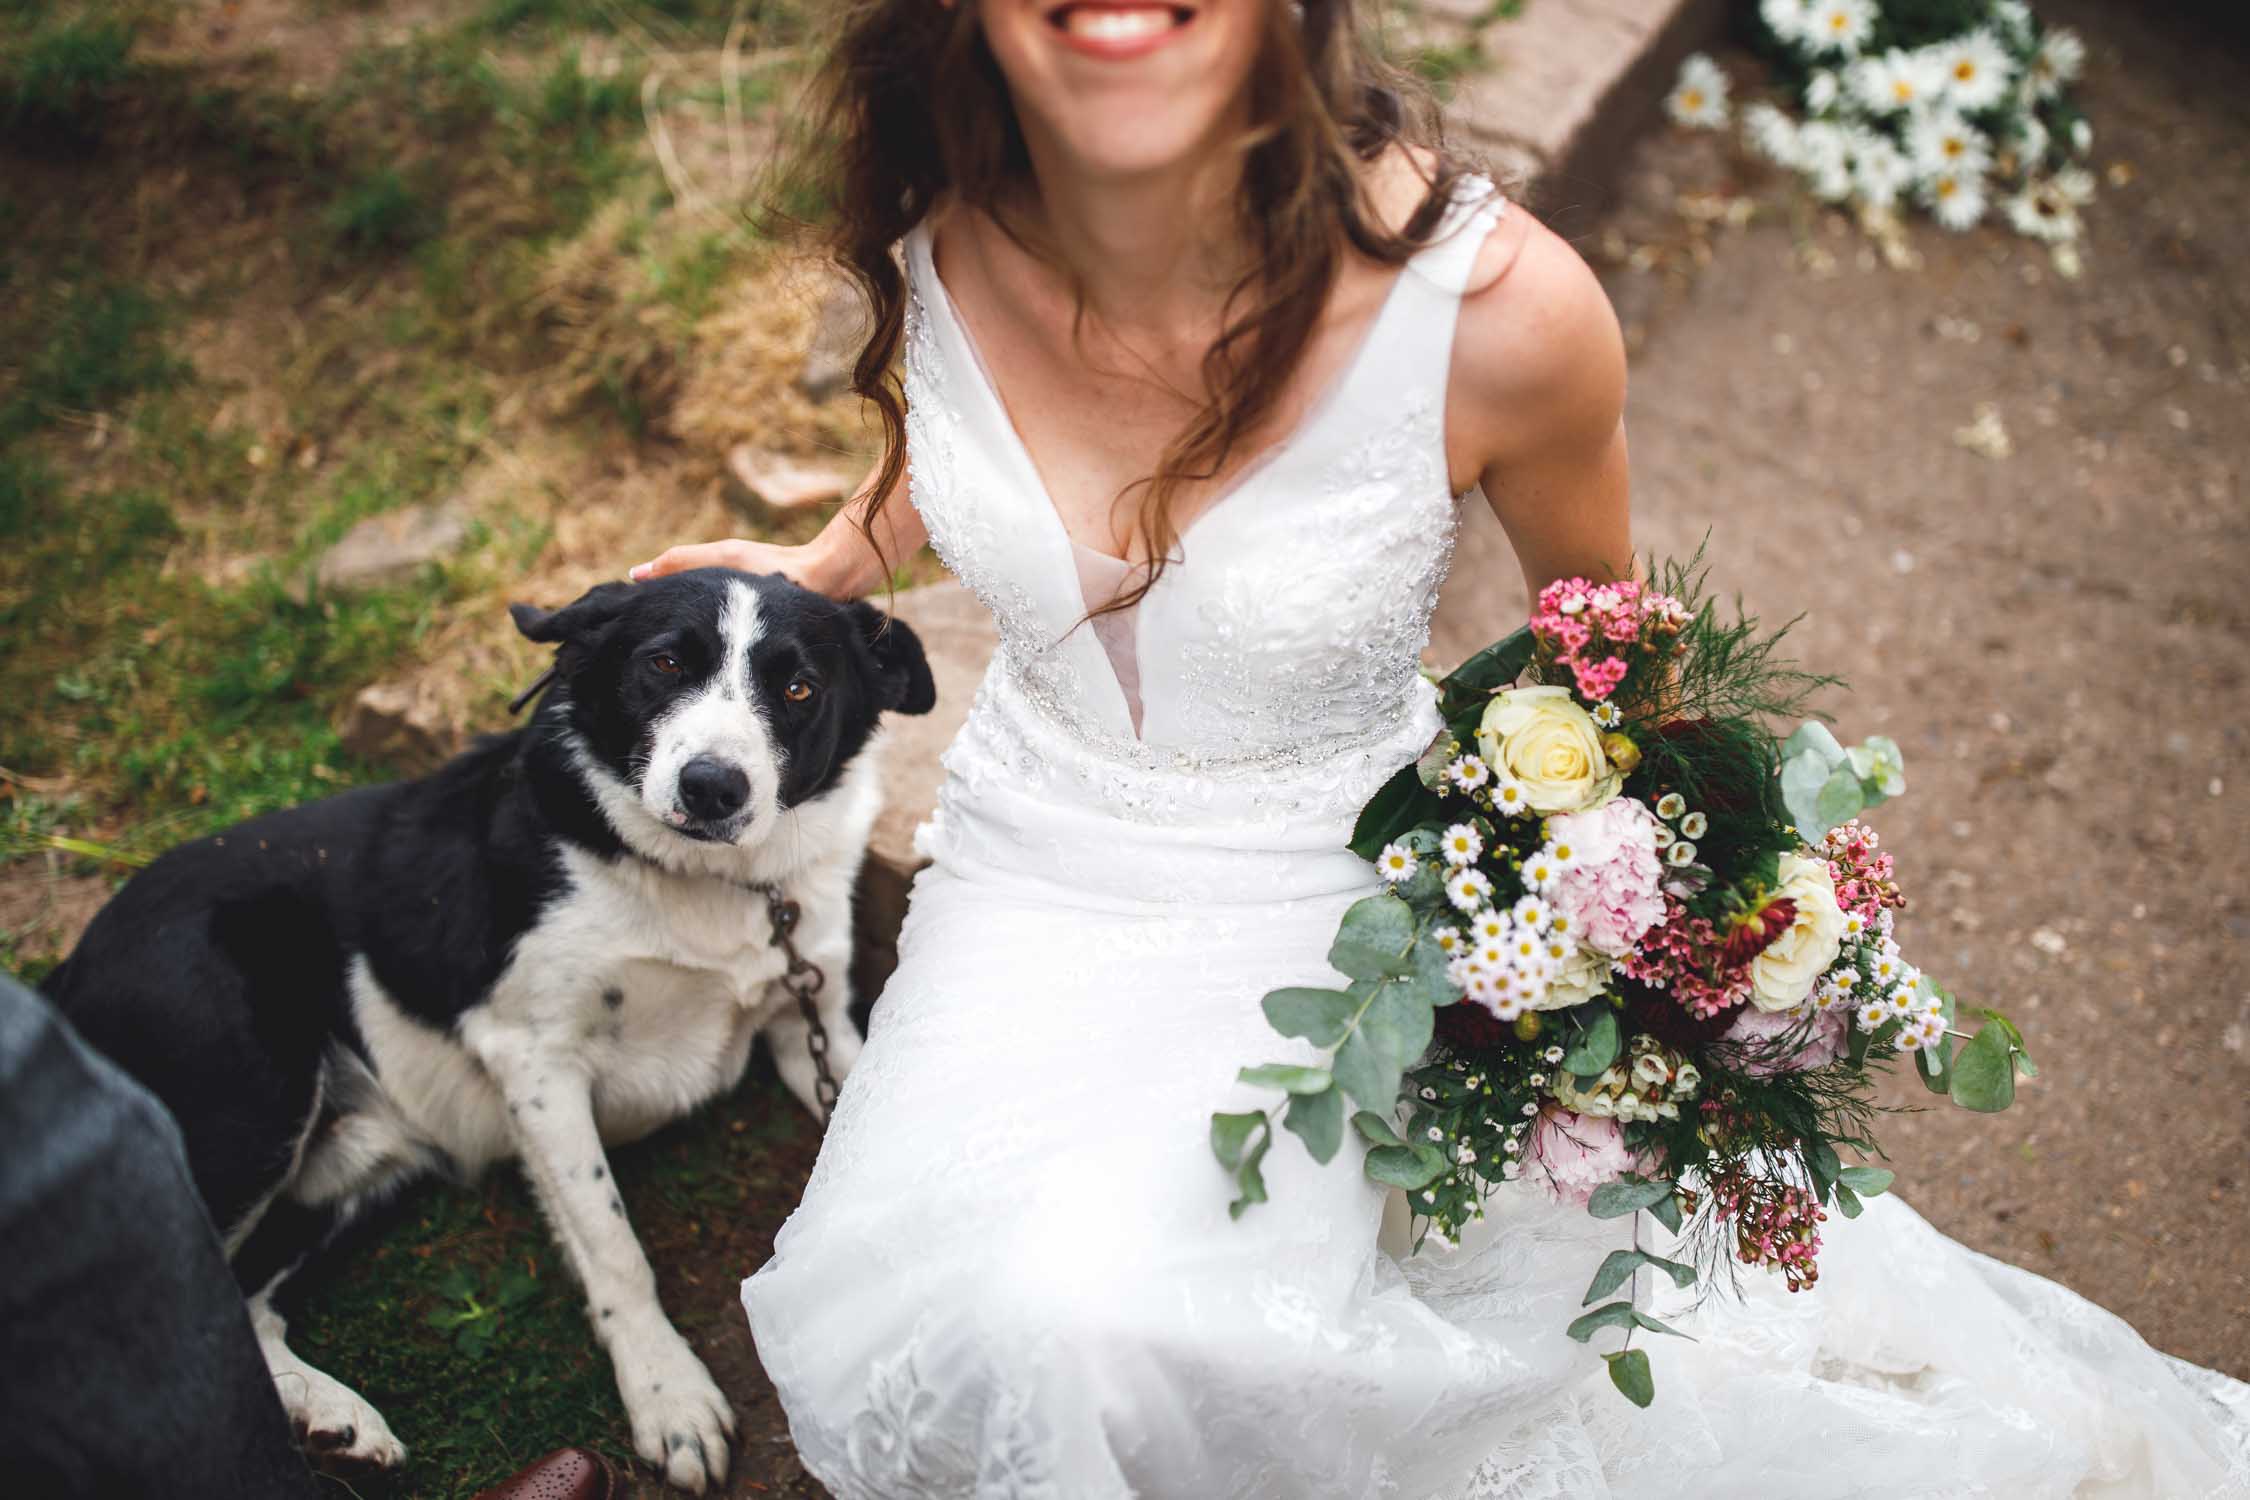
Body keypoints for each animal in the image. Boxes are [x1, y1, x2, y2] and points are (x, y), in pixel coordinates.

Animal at [46, 571, 940, 1493]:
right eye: (664, 664)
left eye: (799, 689)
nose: (711, 788)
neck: (703, 881)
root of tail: (70, 967)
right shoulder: (536, 1062)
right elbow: (613, 1245)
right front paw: (670, 1397)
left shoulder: (812, 1020)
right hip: (247, 1090)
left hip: (339, 1172)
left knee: (248, 1301)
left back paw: (330, 1419)